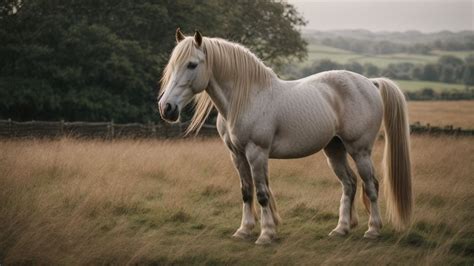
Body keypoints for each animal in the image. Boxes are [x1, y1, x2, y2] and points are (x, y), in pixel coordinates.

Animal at [158, 29, 412, 245]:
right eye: (172, 65)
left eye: (192, 64)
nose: (166, 108)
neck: (247, 98)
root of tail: (370, 82)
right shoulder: (237, 154)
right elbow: (246, 192)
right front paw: (244, 231)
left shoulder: (257, 152)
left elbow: (262, 194)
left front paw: (266, 234)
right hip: (334, 149)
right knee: (349, 184)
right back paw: (341, 229)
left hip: (359, 150)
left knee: (371, 185)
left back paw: (373, 230)